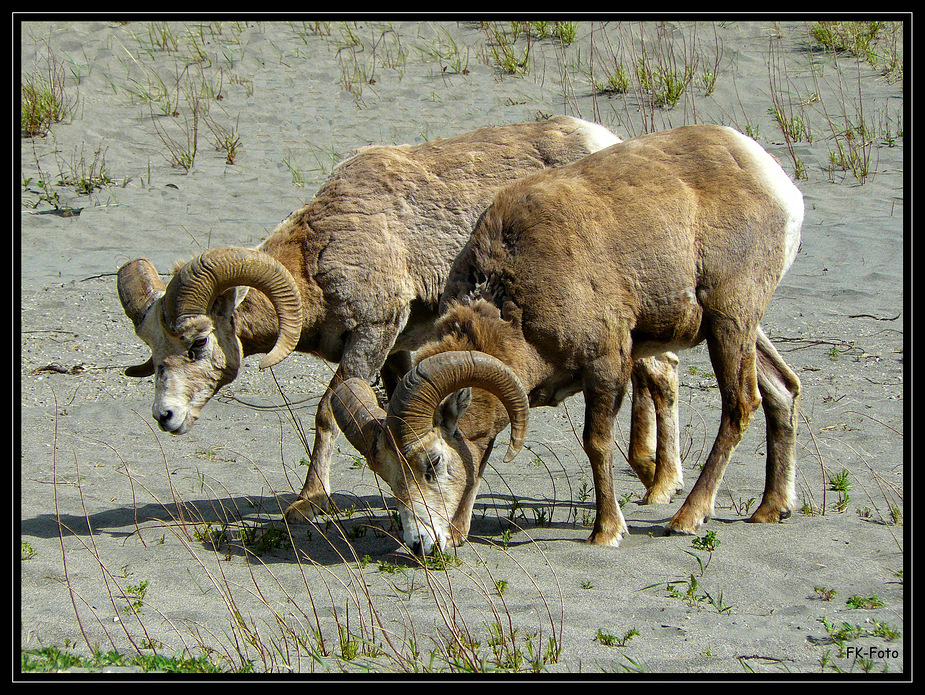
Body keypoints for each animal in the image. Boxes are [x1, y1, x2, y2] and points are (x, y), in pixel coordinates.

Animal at [117, 117, 680, 524]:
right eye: (153, 353)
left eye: (198, 344)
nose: (165, 416)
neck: (321, 252)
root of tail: (607, 140)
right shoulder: (399, 350)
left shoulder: (373, 331)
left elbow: (326, 413)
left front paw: (307, 502)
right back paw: (654, 479)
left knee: (659, 372)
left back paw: (660, 487)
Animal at [334, 125, 800, 556]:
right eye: (388, 474)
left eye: (431, 463)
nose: (420, 545)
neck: (518, 292)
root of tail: (773, 180)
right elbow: (480, 458)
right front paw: (458, 533)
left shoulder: (606, 366)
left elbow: (596, 444)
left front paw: (606, 532)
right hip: (742, 330)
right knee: (782, 389)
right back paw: (771, 509)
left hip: (729, 322)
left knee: (740, 405)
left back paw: (687, 517)